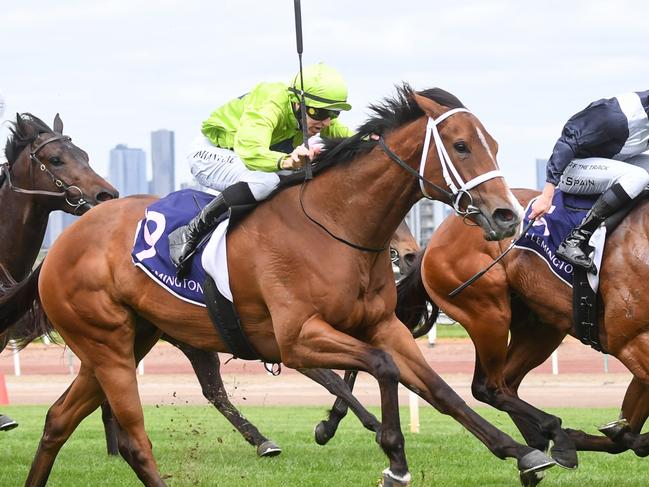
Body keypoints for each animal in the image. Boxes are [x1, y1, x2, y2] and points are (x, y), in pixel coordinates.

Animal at [2, 86, 556, 486]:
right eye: (460, 146)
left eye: (493, 146)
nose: (506, 216)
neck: (335, 225)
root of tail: (62, 244)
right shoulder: (296, 337)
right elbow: (382, 367)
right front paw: (394, 457)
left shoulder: (381, 324)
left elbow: (438, 389)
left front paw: (523, 450)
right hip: (107, 343)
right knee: (136, 440)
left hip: (126, 340)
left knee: (57, 420)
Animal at [392, 187, 649, 468]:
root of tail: (436, 237)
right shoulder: (632, 342)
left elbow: (625, 434)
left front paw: (615, 434)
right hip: (487, 313)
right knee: (488, 387)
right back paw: (553, 435)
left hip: (540, 328)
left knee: (508, 382)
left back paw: (541, 442)